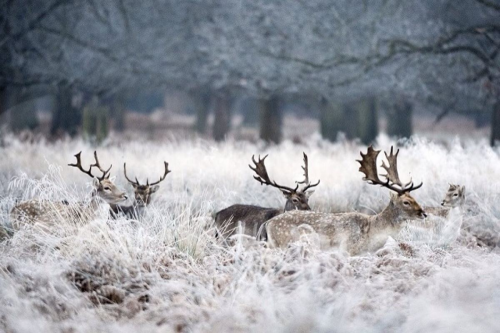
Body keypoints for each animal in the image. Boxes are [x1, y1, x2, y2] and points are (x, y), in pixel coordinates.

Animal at [266, 146, 426, 254]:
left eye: (414, 198)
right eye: (406, 202)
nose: (423, 213)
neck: (372, 232)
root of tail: (268, 224)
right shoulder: (347, 249)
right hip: (285, 242)